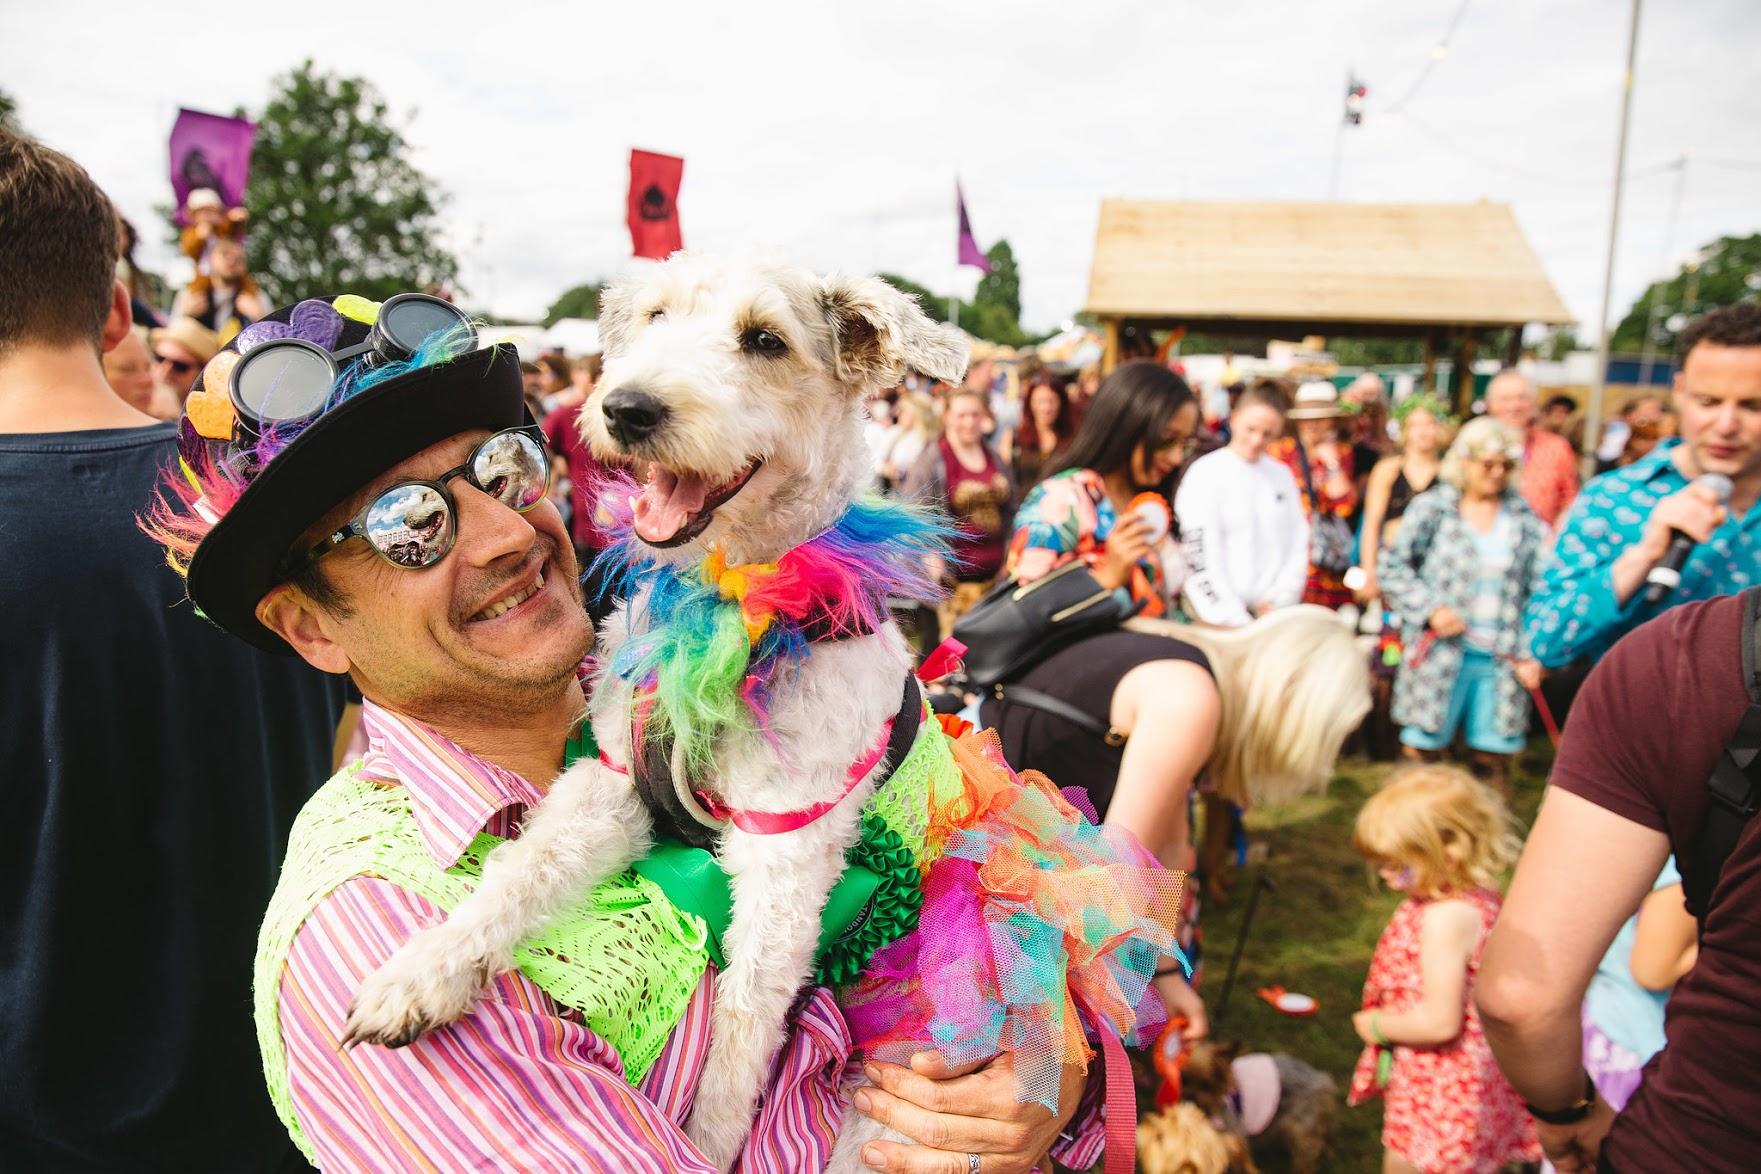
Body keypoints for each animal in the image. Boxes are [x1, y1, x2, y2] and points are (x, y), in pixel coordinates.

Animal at [343, 255, 979, 1168]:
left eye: (765, 340)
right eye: (654, 318)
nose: (626, 408)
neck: (731, 607)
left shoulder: (785, 849)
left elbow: (742, 1024)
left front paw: (709, 1141)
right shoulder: (614, 785)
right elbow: (520, 870)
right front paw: (423, 970)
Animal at [1183, 1034, 1331, 1174]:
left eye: (1206, 1085)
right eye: (1184, 1080)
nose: (1190, 1097)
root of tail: (1319, 1078)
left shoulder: (1234, 1135)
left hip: (1301, 1127)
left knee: (1306, 1156)